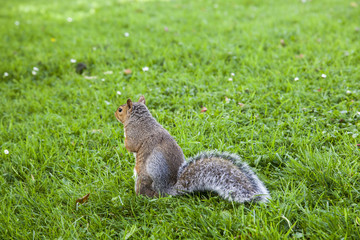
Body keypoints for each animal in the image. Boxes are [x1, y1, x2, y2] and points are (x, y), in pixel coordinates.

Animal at [114, 95, 270, 202]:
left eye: (120, 109)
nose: (114, 114)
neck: (140, 118)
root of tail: (166, 190)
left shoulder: (134, 134)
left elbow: (131, 146)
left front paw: (123, 142)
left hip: (143, 178)